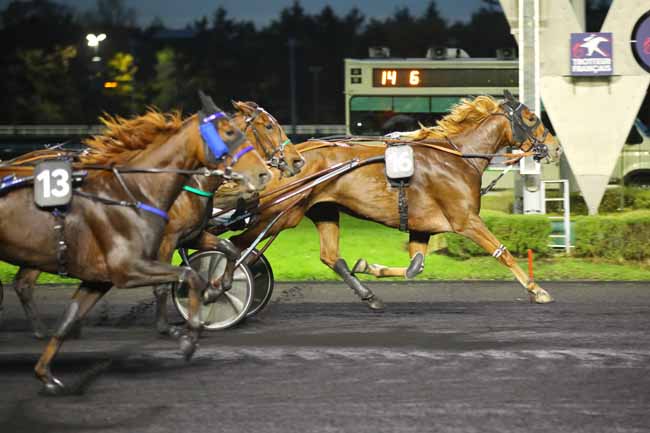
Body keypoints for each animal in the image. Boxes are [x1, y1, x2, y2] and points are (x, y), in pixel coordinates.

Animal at [0, 100, 270, 392]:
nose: (267, 172)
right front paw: (176, 329)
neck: (135, 192)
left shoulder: (190, 236)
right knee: (24, 284)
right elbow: (180, 278)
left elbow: (227, 249)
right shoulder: (148, 253)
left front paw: (217, 288)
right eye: (268, 126)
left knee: (24, 284)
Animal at [230, 92, 560, 308]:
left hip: (322, 210)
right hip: (282, 213)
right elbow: (502, 253)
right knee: (235, 244)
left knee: (329, 256)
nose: (555, 148)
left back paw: (368, 295)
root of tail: (286, 159)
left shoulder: (422, 226)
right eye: (531, 117)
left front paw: (369, 266)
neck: (457, 158)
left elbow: (415, 267)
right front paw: (536, 289)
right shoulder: (466, 221)